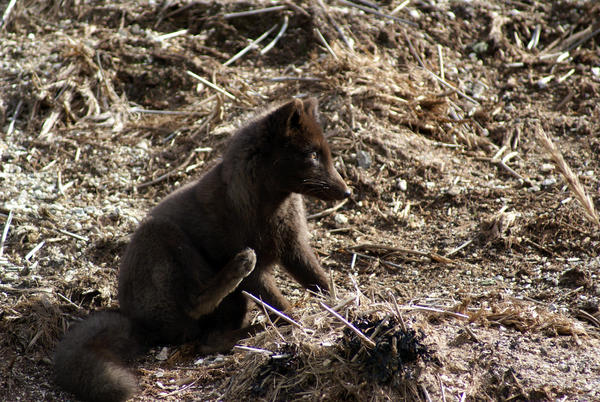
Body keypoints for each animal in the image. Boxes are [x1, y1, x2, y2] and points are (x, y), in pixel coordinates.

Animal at [55, 98, 352, 402]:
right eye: (311, 154)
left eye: (325, 153)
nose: (347, 193)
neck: (269, 206)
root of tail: (135, 320)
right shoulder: (257, 273)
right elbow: (280, 304)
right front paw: (297, 322)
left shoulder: (294, 247)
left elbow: (318, 279)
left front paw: (343, 302)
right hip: (163, 236)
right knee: (196, 309)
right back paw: (241, 272)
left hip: (234, 303)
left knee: (211, 339)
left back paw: (250, 329)